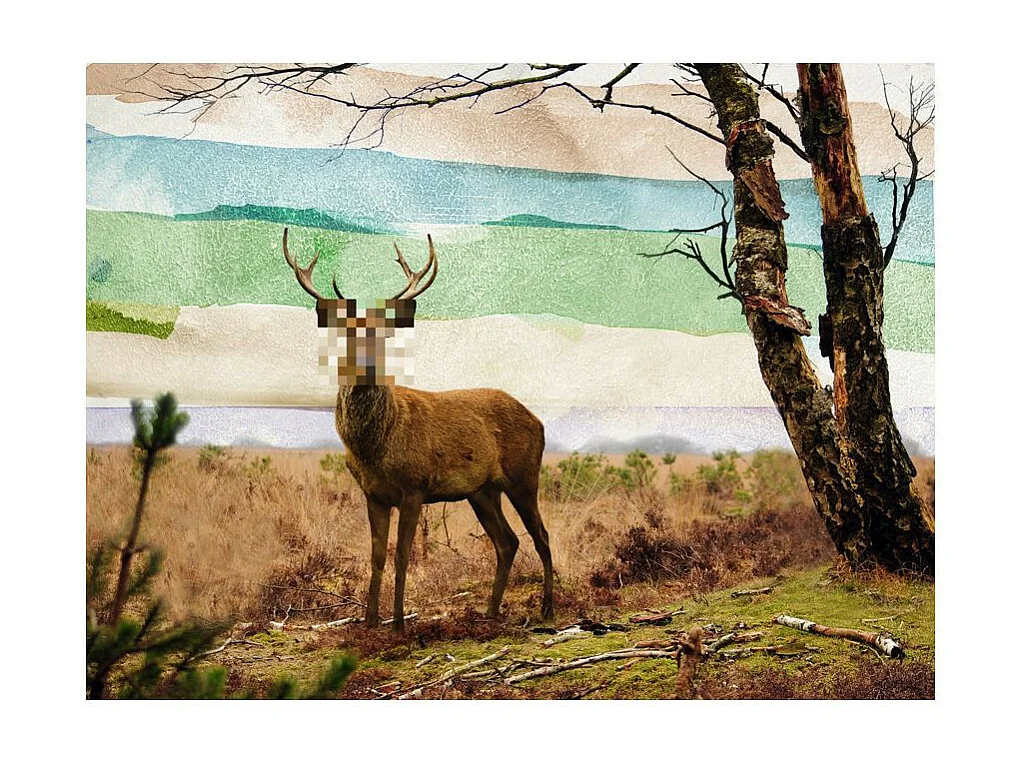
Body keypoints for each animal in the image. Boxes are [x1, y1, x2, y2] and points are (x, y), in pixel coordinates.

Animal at [282, 228, 553, 630]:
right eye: (347, 336)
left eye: (381, 337)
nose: (366, 368)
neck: (375, 449)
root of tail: (538, 421)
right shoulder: (374, 494)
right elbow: (377, 556)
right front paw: (369, 621)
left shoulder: (414, 487)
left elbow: (402, 555)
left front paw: (398, 622)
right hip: (482, 491)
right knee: (507, 542)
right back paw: (490, 612)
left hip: (524, 474)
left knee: (541, 535)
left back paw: (548, 607)